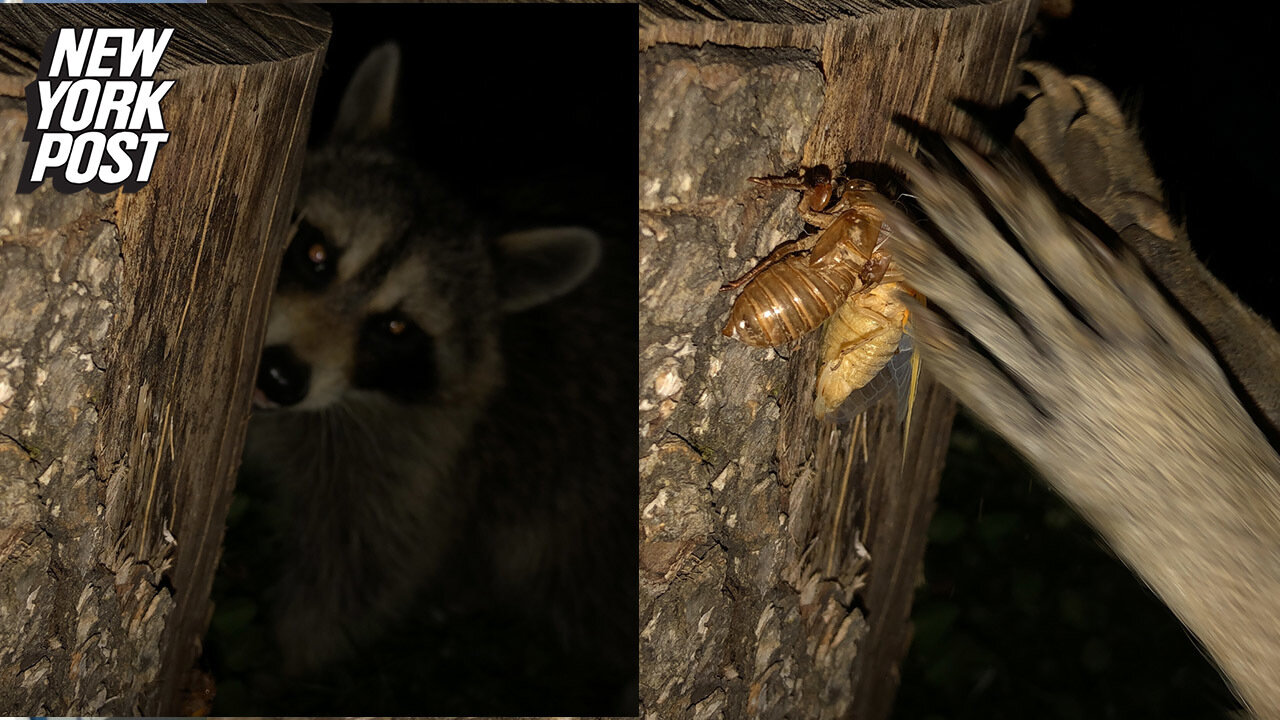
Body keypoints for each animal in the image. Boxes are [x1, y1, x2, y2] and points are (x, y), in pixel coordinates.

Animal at [240, 43, 624, 696]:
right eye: (315, 255)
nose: (279, 378)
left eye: (396, 328)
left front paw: (288, 665)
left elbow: (359, 570)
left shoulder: (428, 463)